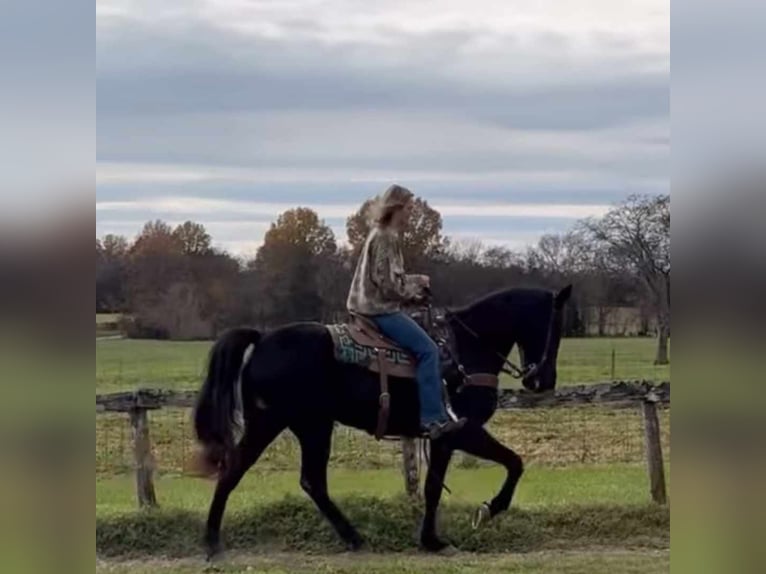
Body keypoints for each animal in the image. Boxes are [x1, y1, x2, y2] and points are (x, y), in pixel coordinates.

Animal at [195, 286, 572, 560]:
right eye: (554, 328)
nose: (543, 381)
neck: (466, 349)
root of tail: (262, 339)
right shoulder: (460, 431)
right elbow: (511, 463)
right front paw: (484, 512)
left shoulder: (444, 438)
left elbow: (437, 486)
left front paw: (433, 538)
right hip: (289, 425)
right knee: (257, 473)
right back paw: (214, 542)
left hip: (296, 425)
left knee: (285, 477)